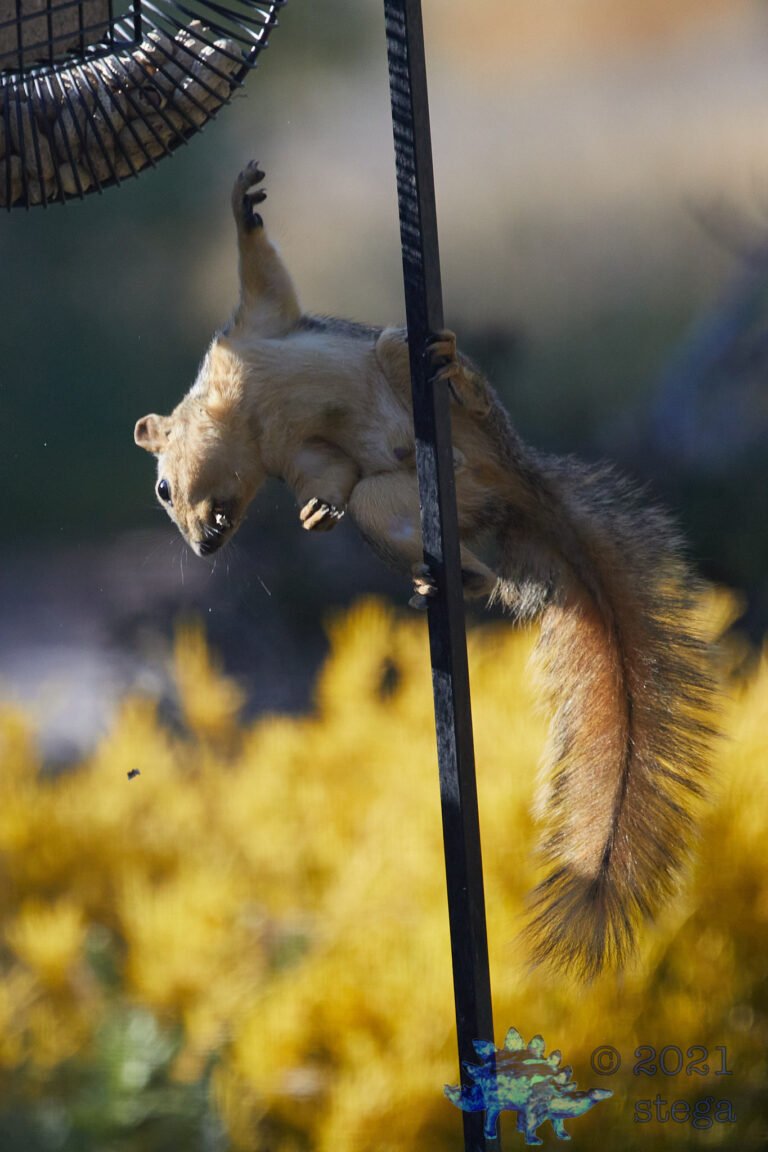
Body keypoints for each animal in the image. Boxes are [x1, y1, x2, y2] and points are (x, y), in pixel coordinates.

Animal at [135, 160, 715, 977]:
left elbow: (264, 277)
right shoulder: (302, 455)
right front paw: (315, 516)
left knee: (417, 368)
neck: (244, 426)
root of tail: (515, 484)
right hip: (397, 502)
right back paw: (454, 578)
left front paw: (244, 204)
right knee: (435, 538)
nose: (203, 547)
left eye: (162, 488)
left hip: (419, 377)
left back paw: (453, 374)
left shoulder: (255, 332)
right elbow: (328, 477)